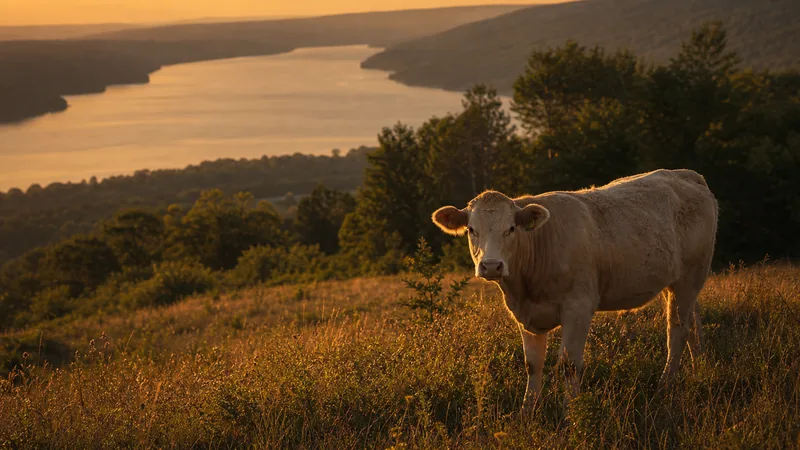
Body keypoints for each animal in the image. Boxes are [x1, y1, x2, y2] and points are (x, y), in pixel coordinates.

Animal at [431, 169, 718, 413]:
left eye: (511, 228)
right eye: (471, 230)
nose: (491, 265)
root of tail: (685, 174)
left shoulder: (578, 307)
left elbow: (569, 364)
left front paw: (572, 412)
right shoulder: (526, 315)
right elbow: (532, 364)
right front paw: (527, 412)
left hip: (691, 275)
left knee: (676, 330)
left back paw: (665, 386)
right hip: (679, 282)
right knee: (693, 325)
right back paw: (699, 369)